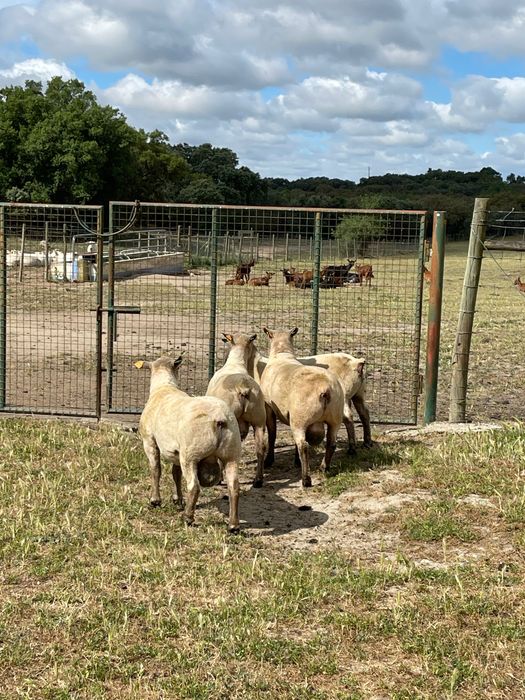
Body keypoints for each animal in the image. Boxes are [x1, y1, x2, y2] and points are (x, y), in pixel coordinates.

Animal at [135, 354, 242, 533]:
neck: (164, 387)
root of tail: (220, 419)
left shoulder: (149, 441)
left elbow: (155, 469)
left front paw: (155, 500)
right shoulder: (176, 451)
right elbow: (175, 473)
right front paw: (177, 500)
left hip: (191, 454)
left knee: (194, 486)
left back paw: (188, 517)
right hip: (231, 453)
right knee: (234, 487)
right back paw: (233, 525)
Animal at [207, 332, 267, 487]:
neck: (236, 362)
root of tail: (243, 387)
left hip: (229, 423)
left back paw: (220, 479)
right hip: (259, 420)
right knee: (260, 448)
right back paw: (258, 480)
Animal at [259, 327, 344, 487]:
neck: (282, 353)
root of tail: (326, 389)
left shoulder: (268, 407)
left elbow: (272, 435)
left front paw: (269, 460)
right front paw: (295, 461)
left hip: (300, 418)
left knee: (303, 446)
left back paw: (306, 479)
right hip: (334, 418)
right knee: (331, 443)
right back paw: (324, 468)